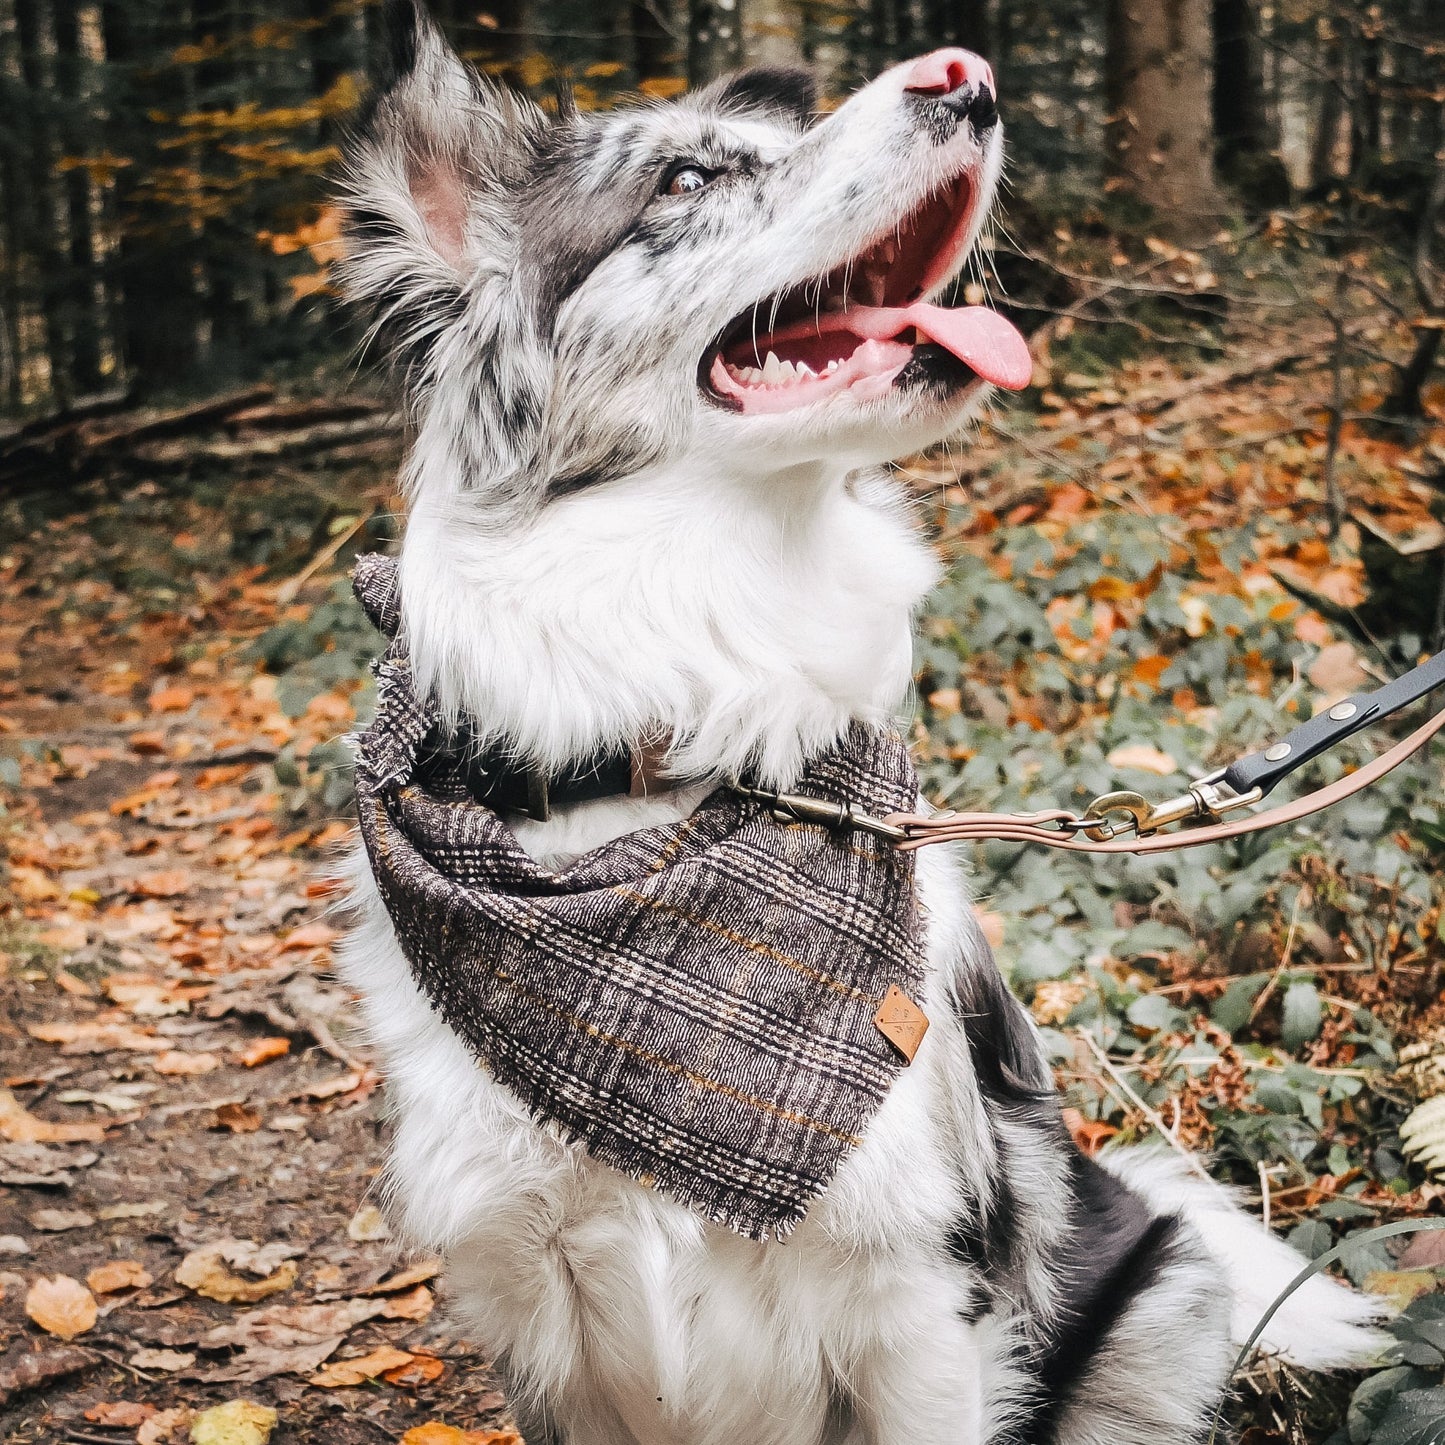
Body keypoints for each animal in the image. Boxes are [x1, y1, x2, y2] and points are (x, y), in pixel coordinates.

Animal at [332, 5, 1392, 1439]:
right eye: (684, 178)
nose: (969, 76)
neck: (676, 770)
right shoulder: (533, 1308)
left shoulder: (923, 1301)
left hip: (1157, 1290)